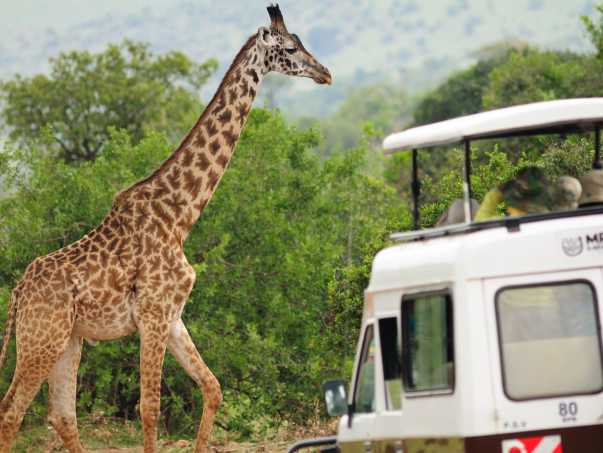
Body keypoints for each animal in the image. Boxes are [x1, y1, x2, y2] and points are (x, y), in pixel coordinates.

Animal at [0, 4, 330, 452]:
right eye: (291, 48)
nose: (325, 73)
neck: (179, 217)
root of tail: (17, 294)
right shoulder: (153, 314)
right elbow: (150, 408)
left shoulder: (174, 317)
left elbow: (213, 388)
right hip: (41, 340)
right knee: (11, 412)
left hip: (68, 340)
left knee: (63, 415)